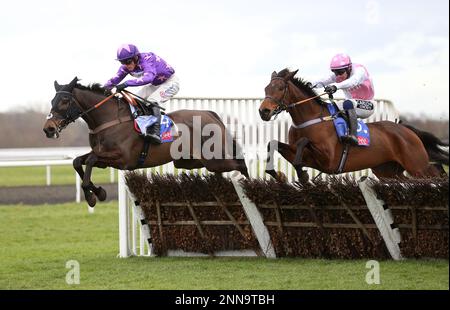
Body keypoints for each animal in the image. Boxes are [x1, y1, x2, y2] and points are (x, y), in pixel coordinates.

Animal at [43, 77, 248, 206]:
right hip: (189, 161)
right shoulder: (103, 156)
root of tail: (210, 114)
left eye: (64, 100)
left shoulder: (123, 159)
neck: (109, 119)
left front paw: (93, 194)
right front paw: (97, 192)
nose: (48, 128)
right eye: (52, 100)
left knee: (240, 164)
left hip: (215, 159)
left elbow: (91, 160)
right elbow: (78, 161)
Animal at [258, 69, 448, 182]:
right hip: (388, 171)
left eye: (280, 88)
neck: (310, 119)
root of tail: (407, 130)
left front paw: (302, 174)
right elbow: (273, 144)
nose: (263, 111)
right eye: (266, 88)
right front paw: (279, 175)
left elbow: (302, 144)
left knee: (435, 171)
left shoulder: (328, 159)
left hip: (417, 165)